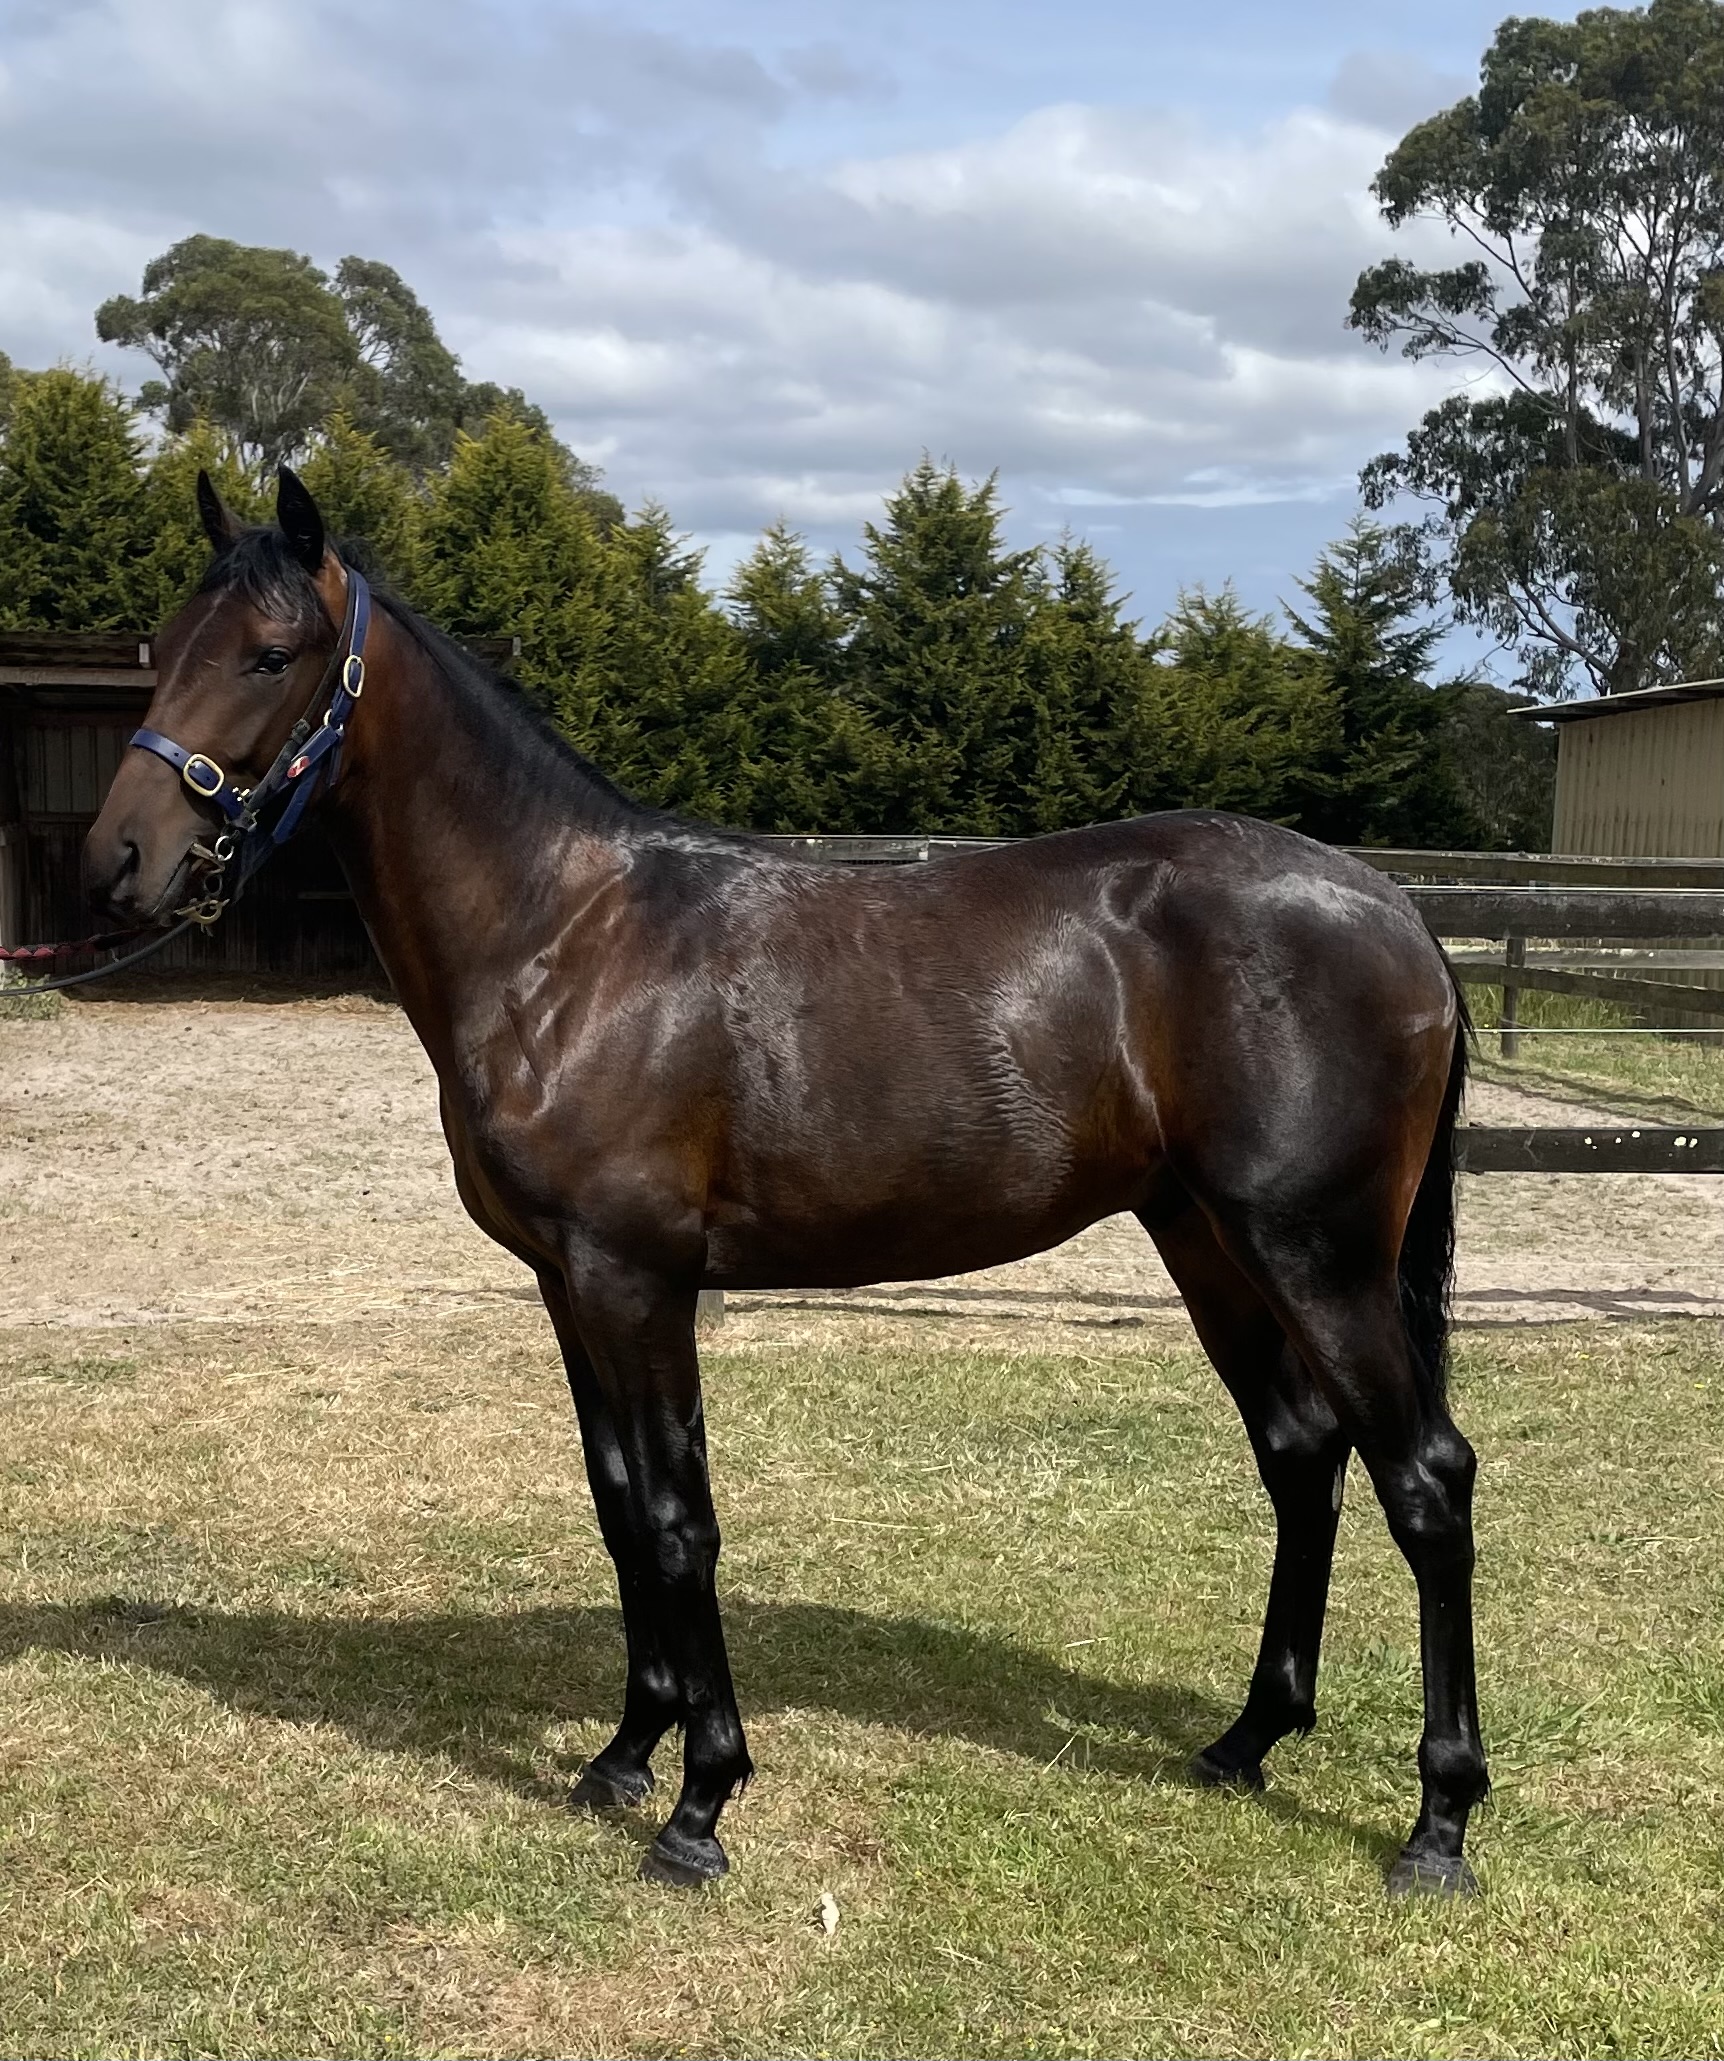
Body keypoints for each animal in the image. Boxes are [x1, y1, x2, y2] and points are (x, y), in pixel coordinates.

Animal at [83, 469, 1487, 1895]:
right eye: (163, 646)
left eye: (271, 654)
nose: (121, 857)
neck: (562, 939)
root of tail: (1396, 915)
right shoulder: (567, 1285)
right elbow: (618, 1504)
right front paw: (623, 1755)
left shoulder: (636, 1280)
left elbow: (677, 1517)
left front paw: (699, 1802)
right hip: (1204, 1239)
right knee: (1301, 1455)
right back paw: (1246, 1739)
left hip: (1316, 1257)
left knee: (1424, 1480)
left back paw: (1436, 1823)